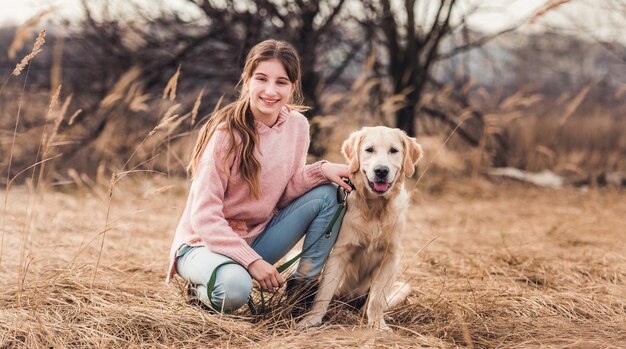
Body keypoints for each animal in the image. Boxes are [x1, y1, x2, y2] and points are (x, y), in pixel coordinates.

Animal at [296, 125, 422, 328]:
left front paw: (378, 325)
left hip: (401, 285)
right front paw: (311, 320)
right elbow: (324, 292)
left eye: (394, 150)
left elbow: (377, 299)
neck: (375, 208)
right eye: (369, 149)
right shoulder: (339, 253)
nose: (381, 171)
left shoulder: (391, 257)